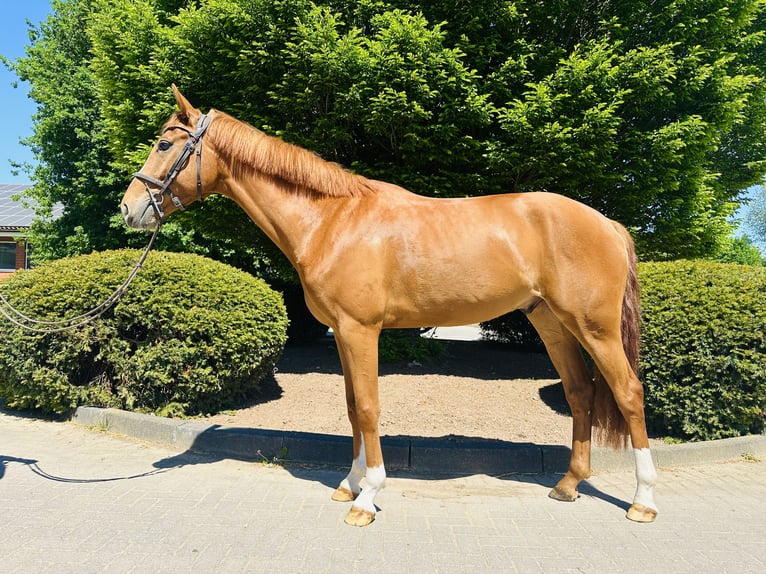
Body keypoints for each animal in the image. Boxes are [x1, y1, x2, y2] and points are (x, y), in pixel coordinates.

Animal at [121, 86, 658, 527]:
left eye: (165, 144)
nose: (129, 208)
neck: (332, 220)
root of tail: (607, 224)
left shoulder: (361, 330)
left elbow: (370, 407)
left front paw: (367, 497)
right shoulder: (342, 333)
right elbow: (352, 407)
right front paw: (348, 484)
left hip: (595, 327)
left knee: (628, 392)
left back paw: (642, 501)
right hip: (552, 322)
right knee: (580, 392)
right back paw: (568, 485)